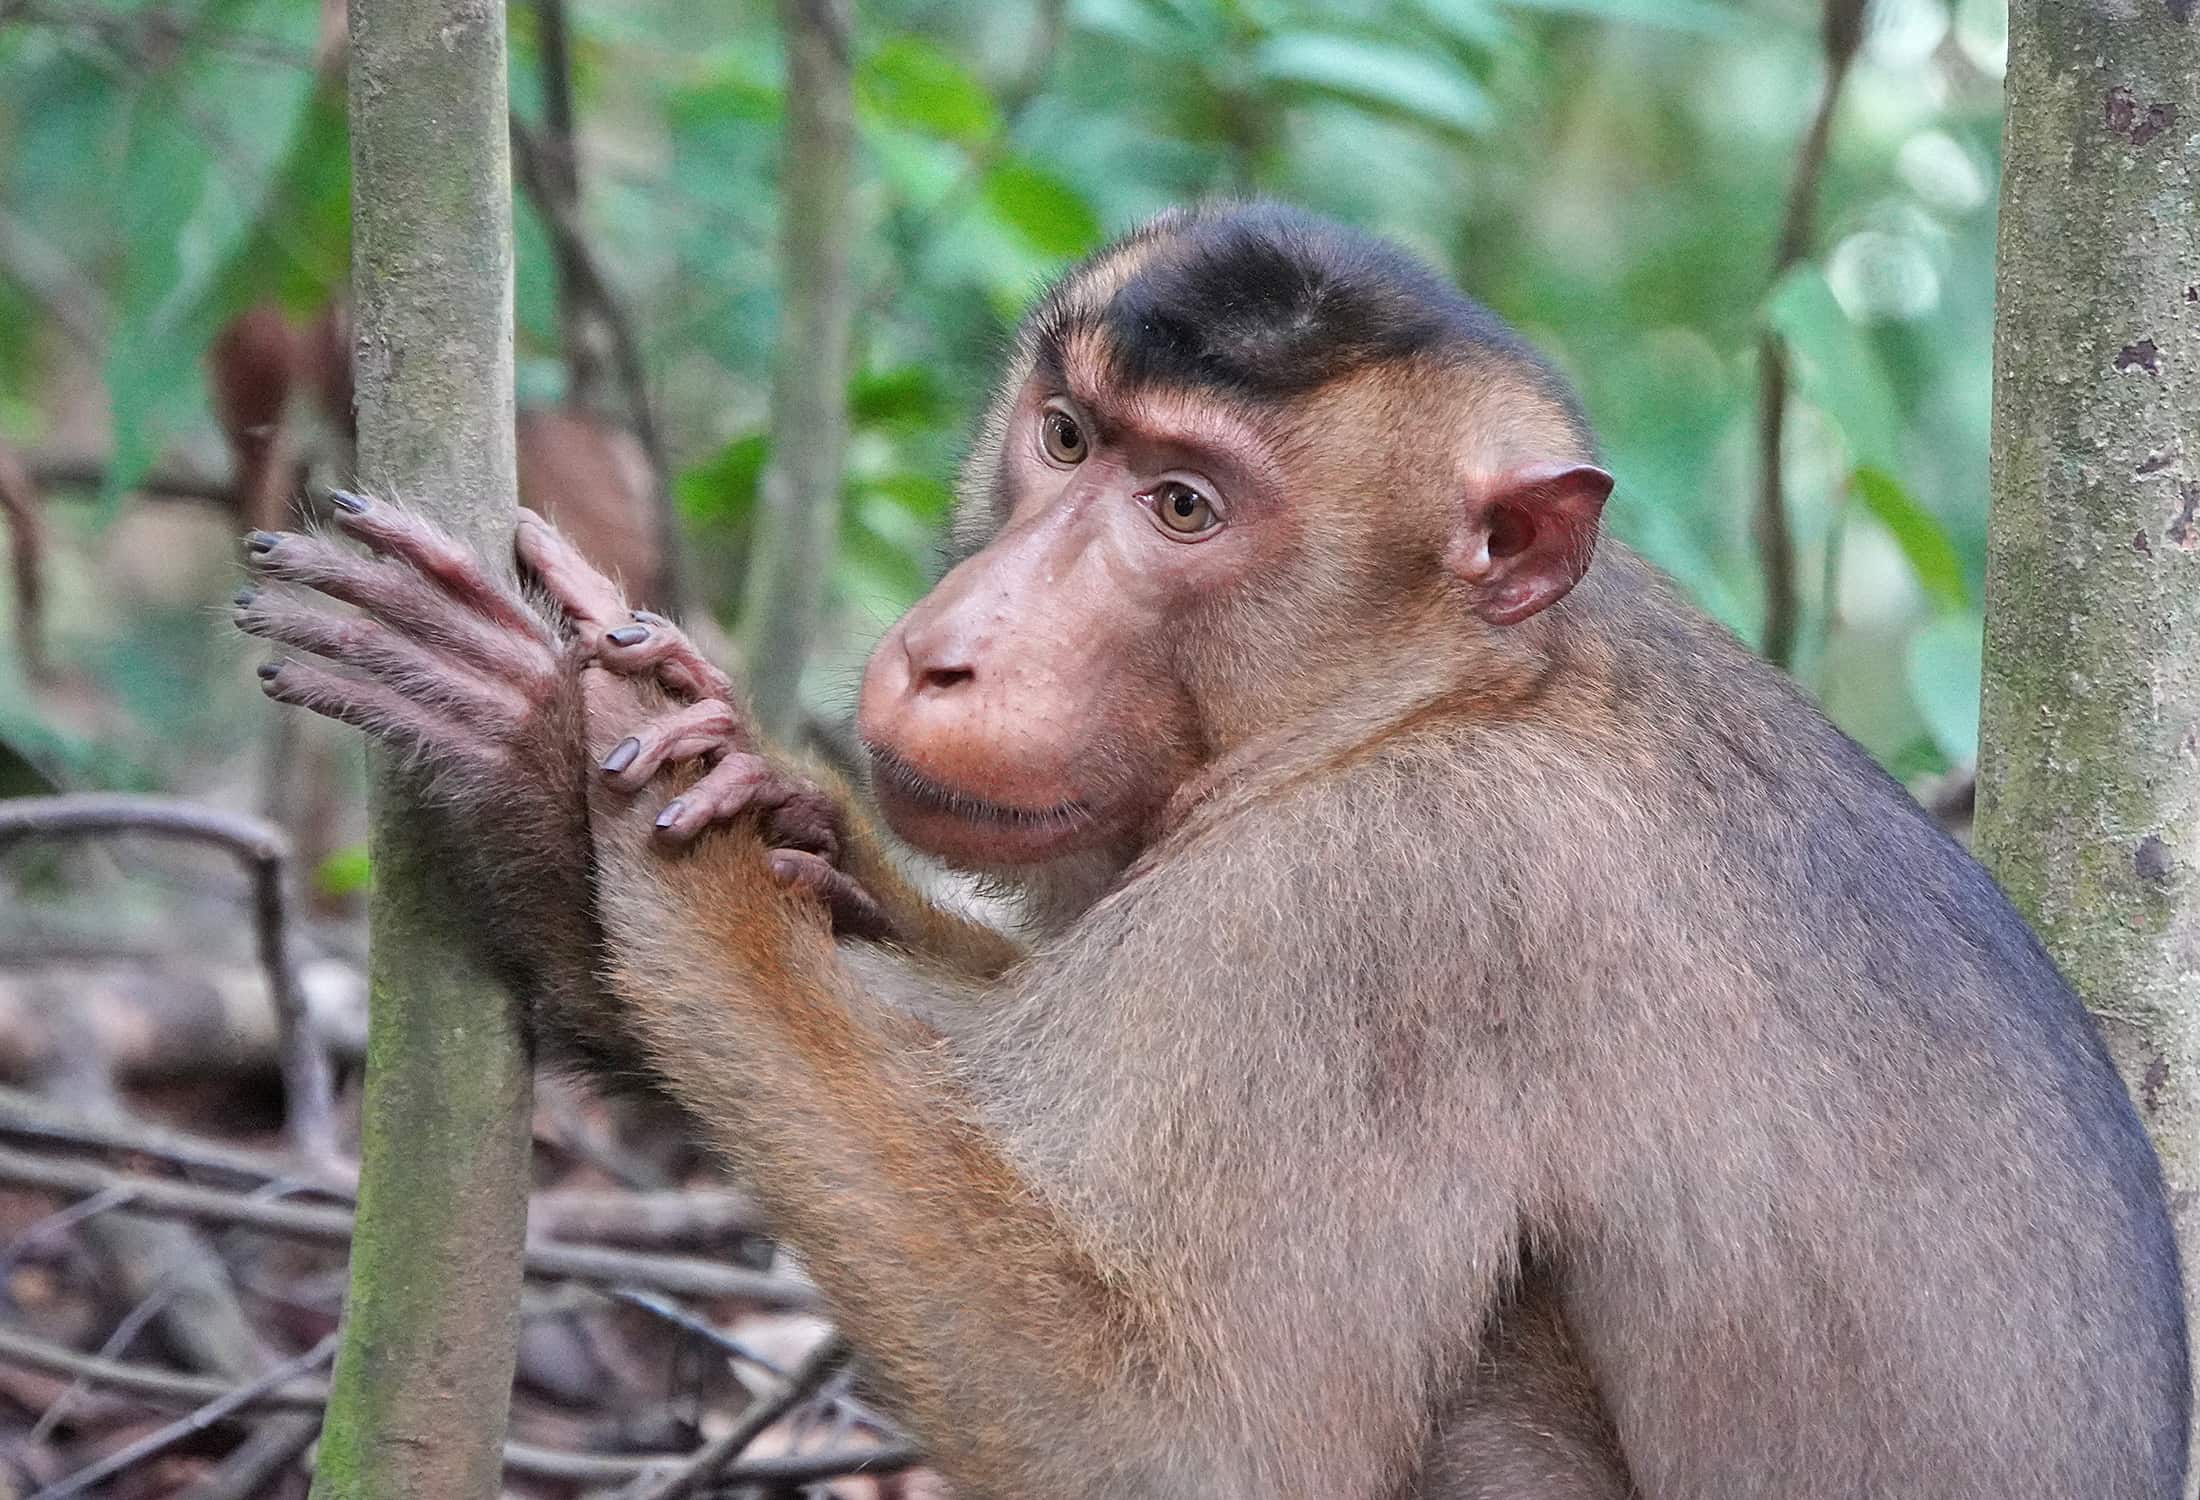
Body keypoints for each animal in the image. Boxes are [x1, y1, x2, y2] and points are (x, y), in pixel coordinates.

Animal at [234, 202, 2189, 1499]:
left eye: (1184, 508)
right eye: (1066, 435)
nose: (955, 650)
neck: (1432, 694)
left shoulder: (1391, 908)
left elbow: (1172, 1438)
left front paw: (585, 766)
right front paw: (764, 824)